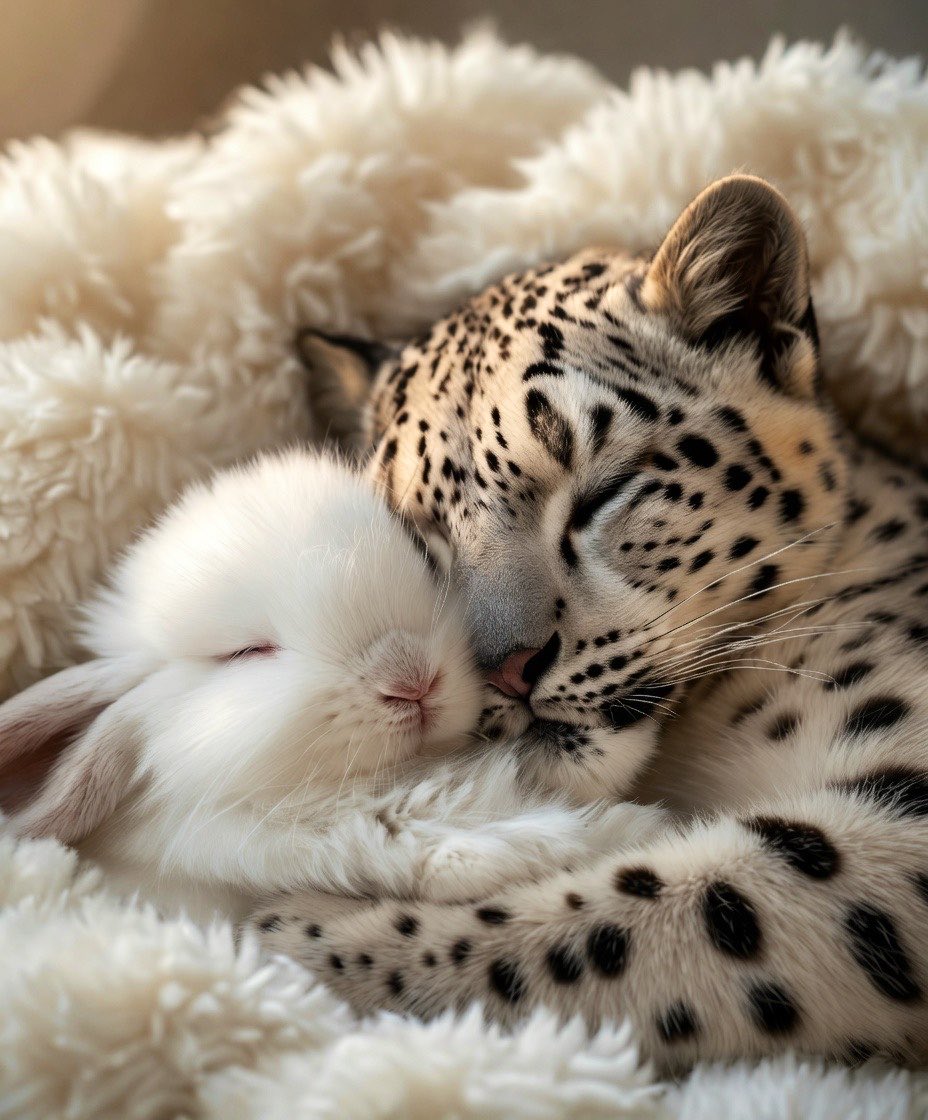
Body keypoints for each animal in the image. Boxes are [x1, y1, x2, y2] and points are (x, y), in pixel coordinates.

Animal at [253, 176, 928, 1071]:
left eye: (604, 490)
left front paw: (299, 934)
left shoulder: (898, 811)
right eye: (414, 543)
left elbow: (646, 920)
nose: (507, 667)